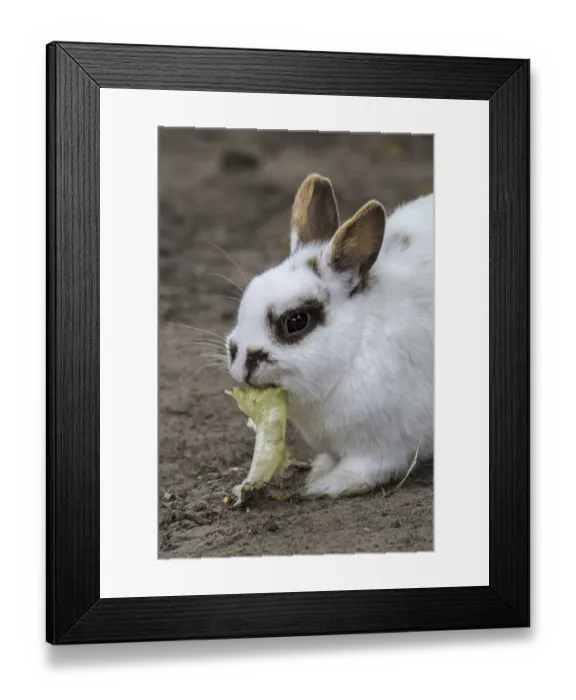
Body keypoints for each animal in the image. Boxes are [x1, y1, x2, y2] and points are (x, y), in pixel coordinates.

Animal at [226, 174, 434, 498]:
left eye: (296, 321)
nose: (240, 363)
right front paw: (320, 470)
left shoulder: (386, 445)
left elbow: (366, 468)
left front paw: (328, 484)